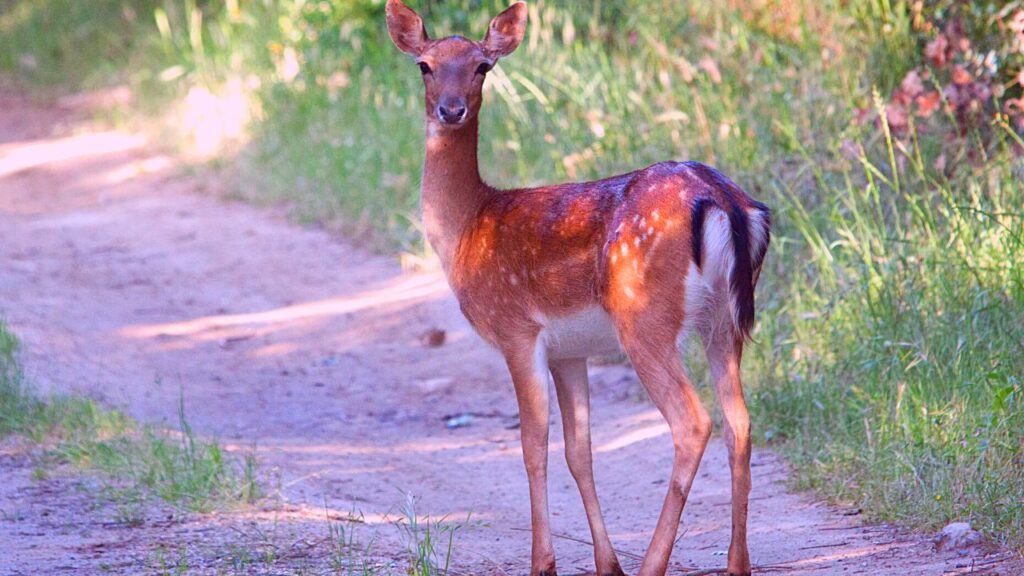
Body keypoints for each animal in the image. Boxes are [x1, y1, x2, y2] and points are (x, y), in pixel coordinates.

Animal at [385, 2, 770, 569]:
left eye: (482, 66)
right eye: (425, 65)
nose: (450, 110)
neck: (467, 228)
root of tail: (723, 199)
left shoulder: (517, 328)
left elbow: (532, 445)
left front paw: (543, 562)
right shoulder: (571, 350)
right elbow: (578, 451)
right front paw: (606, 564)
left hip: (643, 313)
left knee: (694, 422)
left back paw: (653, 563)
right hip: (724, 321)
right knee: (739, 423)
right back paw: (734, 563)